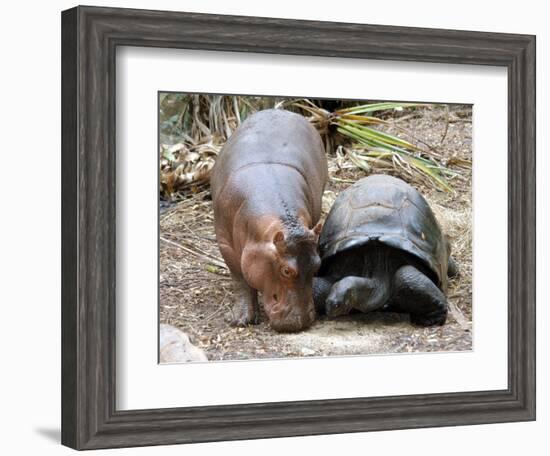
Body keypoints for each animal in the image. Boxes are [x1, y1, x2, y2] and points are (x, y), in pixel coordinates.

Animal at [212, 109, 328, 332]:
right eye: (286, 271)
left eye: (317, 265)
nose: (301, 321)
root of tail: (281, 110)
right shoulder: (225, 245)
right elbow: (240, 279)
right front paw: (240, 319)